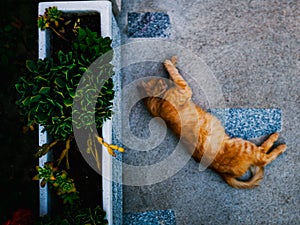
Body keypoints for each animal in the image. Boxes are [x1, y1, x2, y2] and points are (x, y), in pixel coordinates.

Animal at [139, 55, 288, 188]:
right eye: (157, 81)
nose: (162, 80)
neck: (158, 102)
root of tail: (223, 173)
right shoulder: (184, 89)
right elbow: (176, 75)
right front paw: (169, 63)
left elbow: (173, 75)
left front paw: (173, 62)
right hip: (245, 146)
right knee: (263, 157)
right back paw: (279, 142)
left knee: (262, 152)